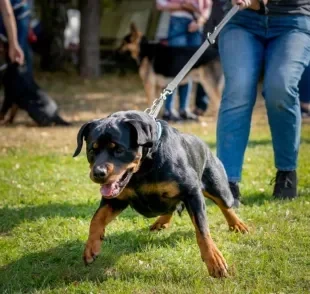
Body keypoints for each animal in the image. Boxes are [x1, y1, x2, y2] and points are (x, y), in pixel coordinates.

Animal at [72, 110, 247, 278]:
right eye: (92, 150)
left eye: (119, 149)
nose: (98, 173)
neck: (144, 166)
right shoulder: (116, 199)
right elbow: (96, 219)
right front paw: (91, 247)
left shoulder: (191, 193)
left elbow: (202, 229)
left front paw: (214, 261)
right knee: (171, 207)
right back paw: (161, 222)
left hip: (217, 185)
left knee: (226, 205)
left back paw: (237, 225)